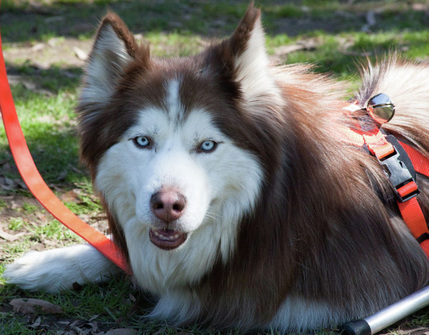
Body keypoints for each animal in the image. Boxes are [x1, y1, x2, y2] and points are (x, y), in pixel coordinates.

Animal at [5, 3, 428, 334]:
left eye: (207, 145)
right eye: (142, 141)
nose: (167, 205)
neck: (266, 207)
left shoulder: (372, 284)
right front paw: (48, 265)